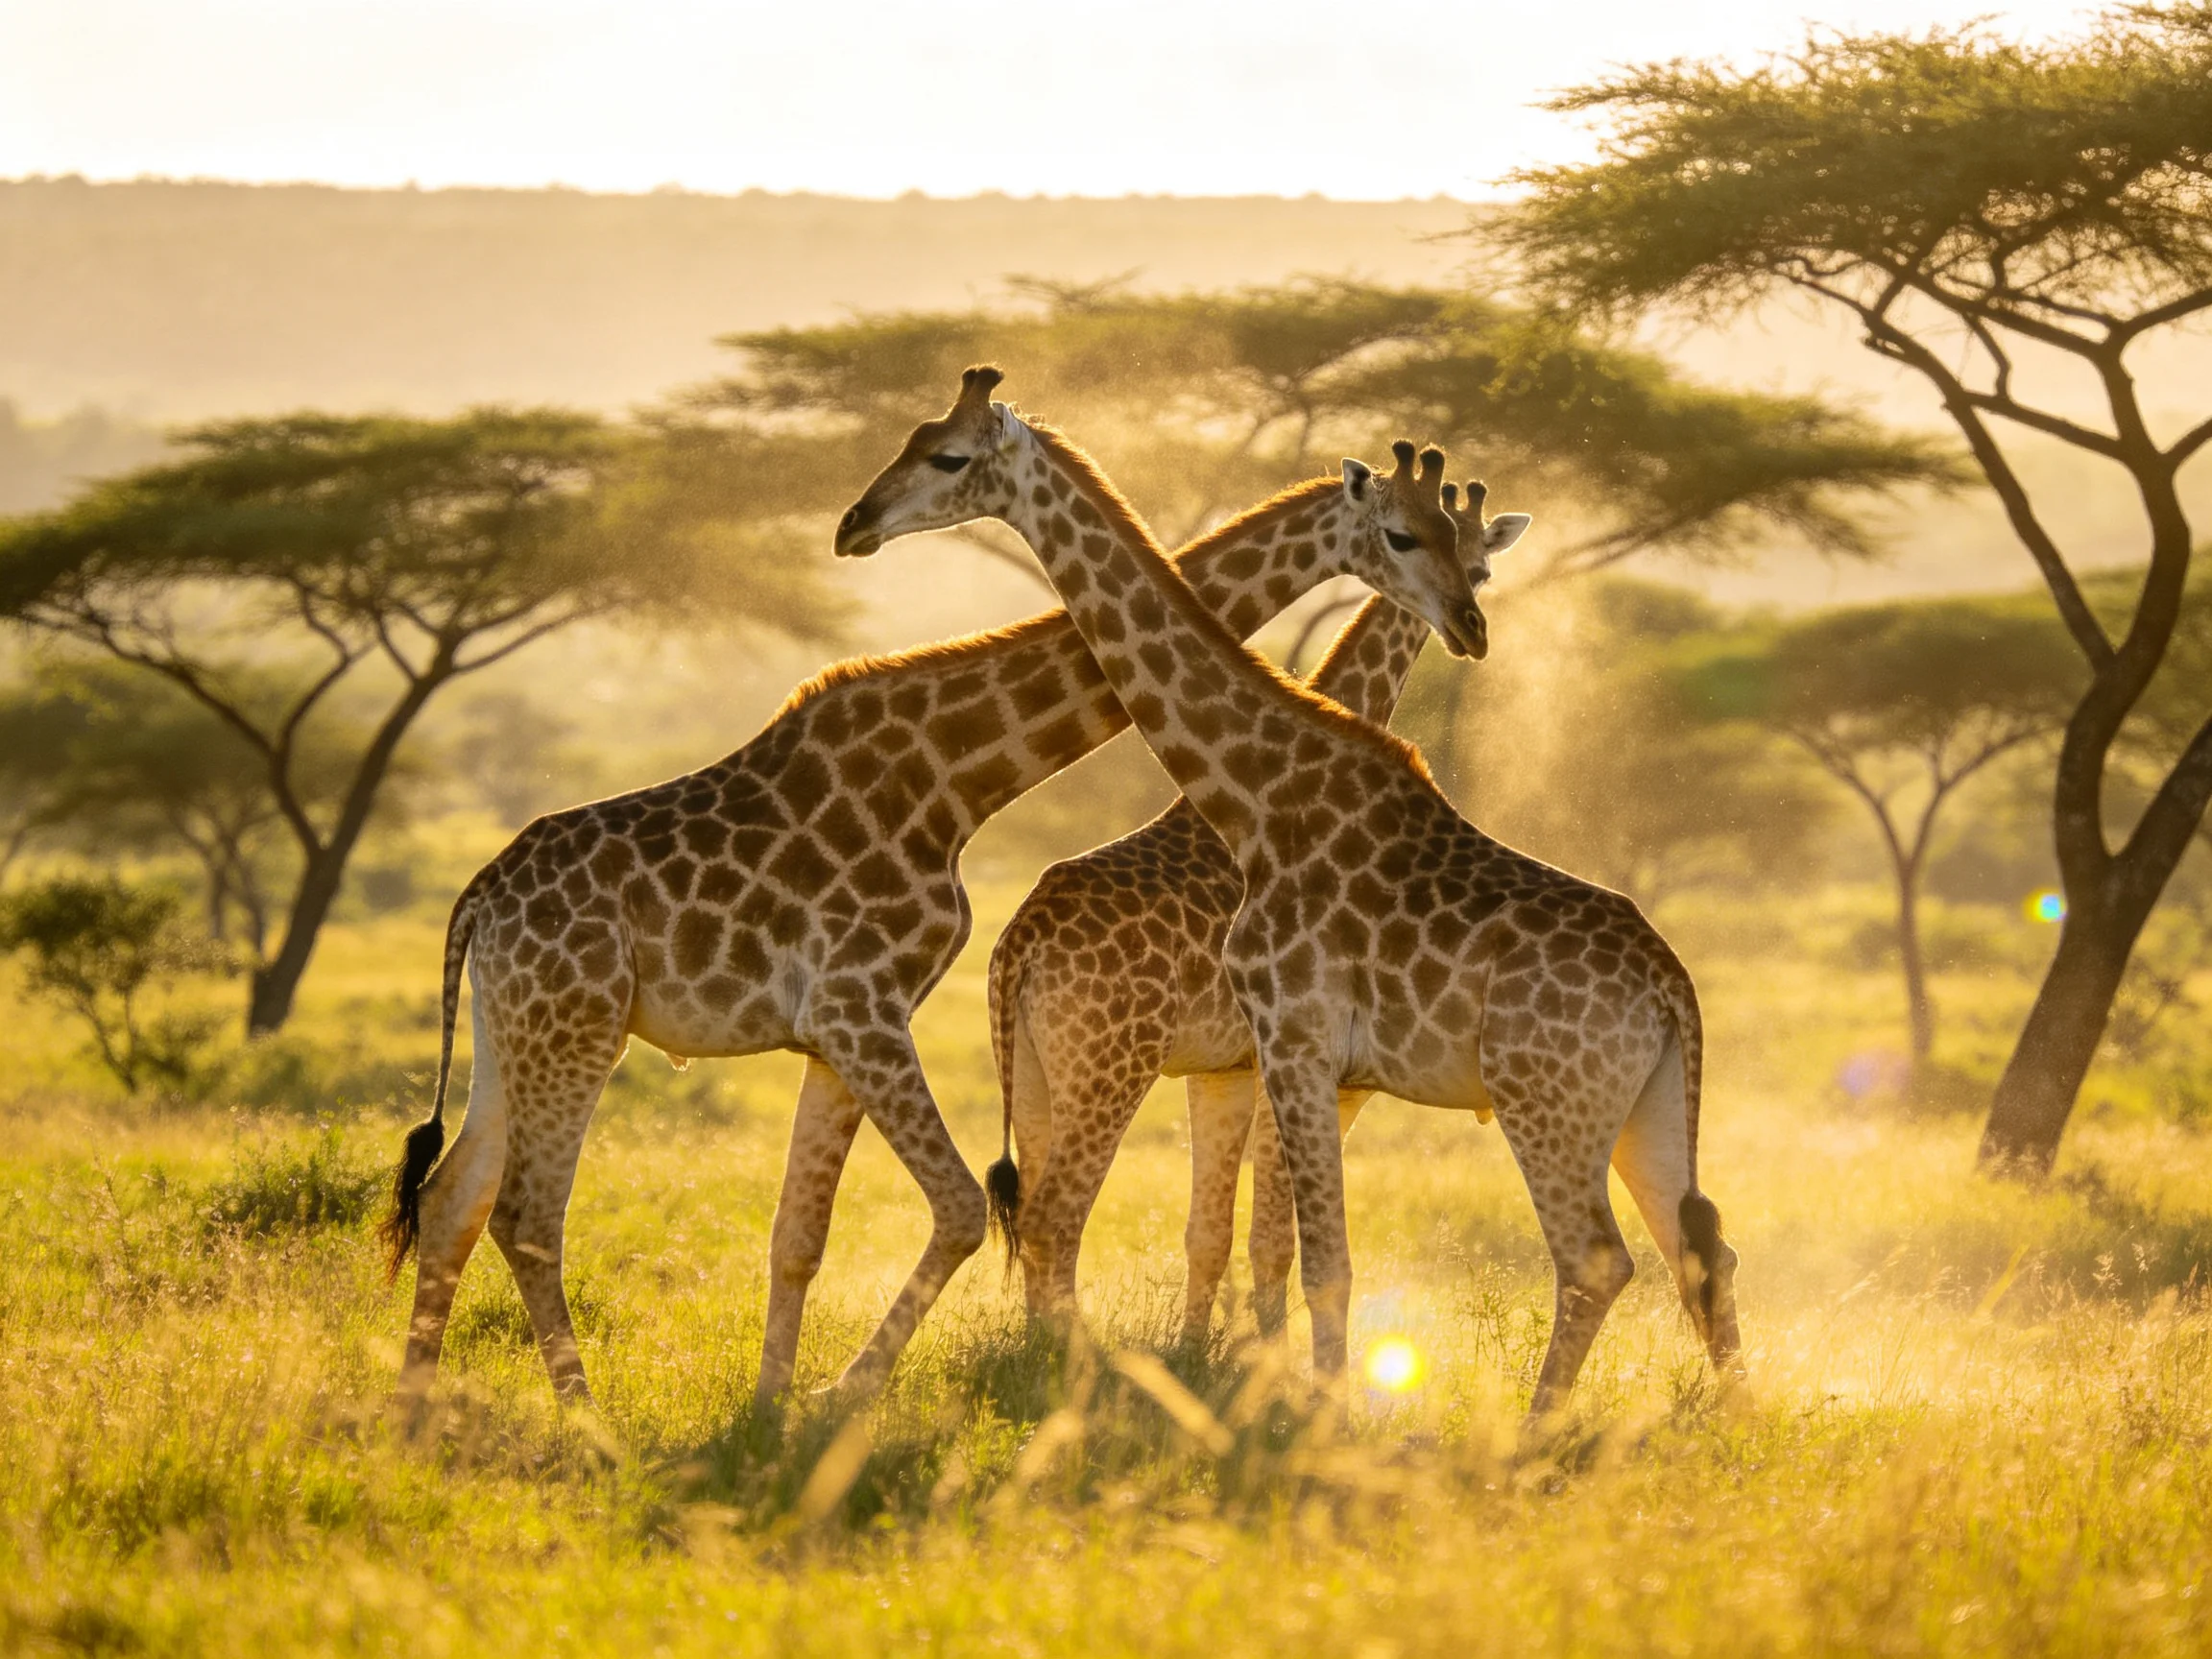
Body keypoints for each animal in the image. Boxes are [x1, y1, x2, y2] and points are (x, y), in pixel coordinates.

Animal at [377, 366, 1469, 1411]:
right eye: (1405, 533)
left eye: (941, 453)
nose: (853, 524)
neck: (959, 772)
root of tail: (479, 899)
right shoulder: (860, 1006)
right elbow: (956, 1207)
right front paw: (842, 1391)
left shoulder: (836, 1031)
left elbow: (798, 1236)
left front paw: (771, 1407)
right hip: (581, 1026)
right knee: (527, 1212)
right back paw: (588, 1421)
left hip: (515, 1029)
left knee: (453, 1196)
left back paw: (413, 1412)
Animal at [982, 482, 1532, 1342]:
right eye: (1422, 544)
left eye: (1482, 566)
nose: (1469, 628)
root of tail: (1022, 946)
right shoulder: (1289, 1063)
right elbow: (1275, 1238)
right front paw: (1262, 1360)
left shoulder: (1222, 1069)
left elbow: (1208, 1234)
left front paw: (1198, 1349)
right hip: (1106, 1068)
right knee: (1057, 1220)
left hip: (1034, 1072)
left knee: (1033, 1216)